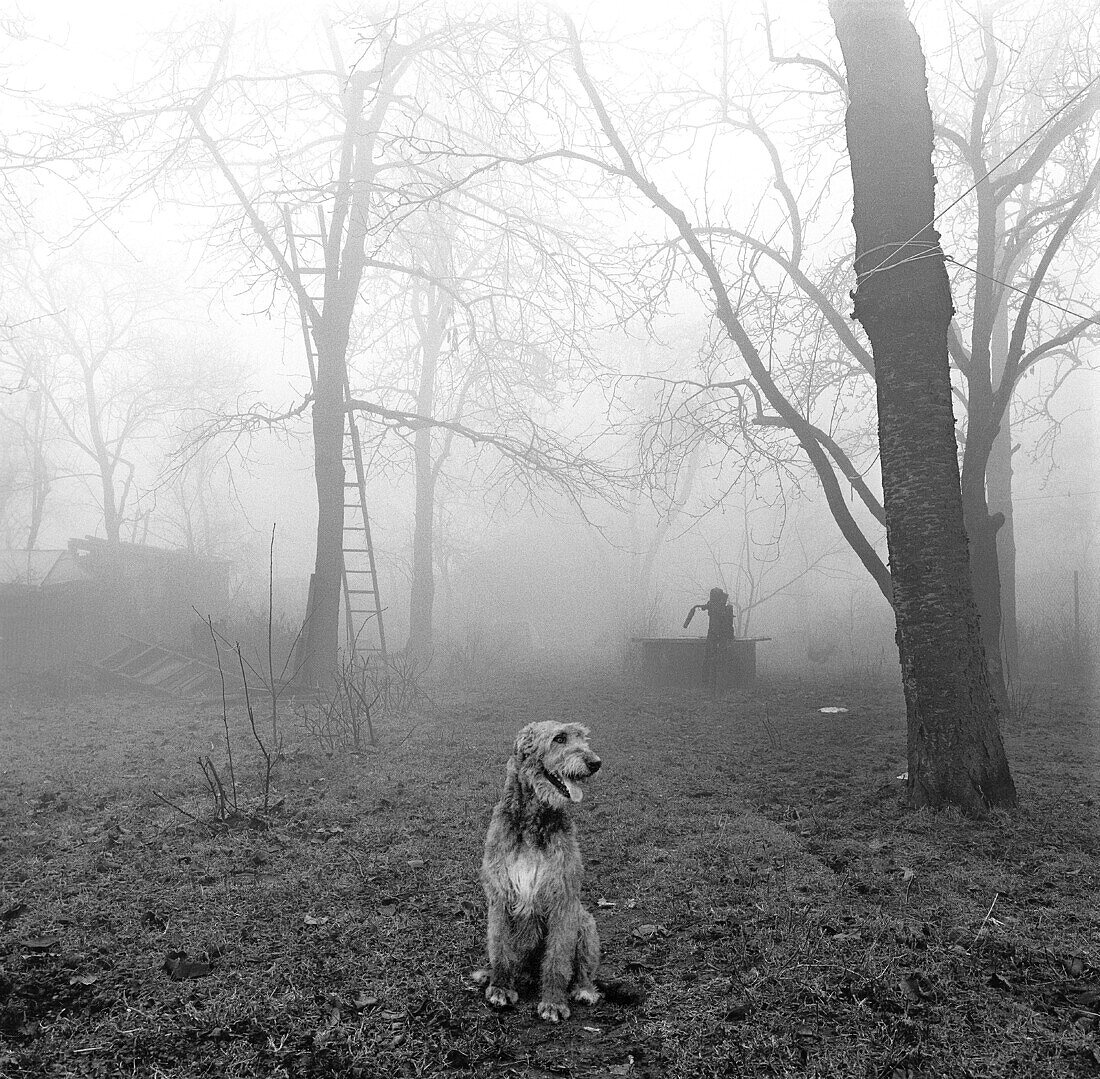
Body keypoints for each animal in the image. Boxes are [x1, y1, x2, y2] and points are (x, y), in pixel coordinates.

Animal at [470, 725, 602, 1020]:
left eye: (583, 738)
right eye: (559, 738)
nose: (595, 763)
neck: (532, 823)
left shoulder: (563, 898)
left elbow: (557, 959)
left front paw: (553, 1002)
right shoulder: (500, 895)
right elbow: (500, 947)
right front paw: (500, 988)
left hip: (586, 922)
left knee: (582, 969)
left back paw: (584, 989)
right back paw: (490, 974)